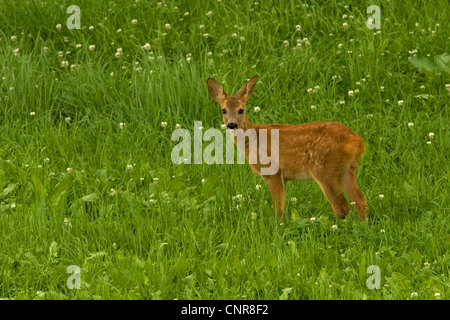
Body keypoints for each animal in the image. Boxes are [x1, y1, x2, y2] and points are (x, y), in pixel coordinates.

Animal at [207, 74, 370, 221]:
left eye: (241, 110)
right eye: (224, 110)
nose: (232, 124)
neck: (253, 139)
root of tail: (356, 140)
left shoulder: (272, 170)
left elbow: (277, 207)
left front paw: (277, 225)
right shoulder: (283, 176)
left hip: (323, 168)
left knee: (341, 205)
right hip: (347, 169)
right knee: (360, 201)